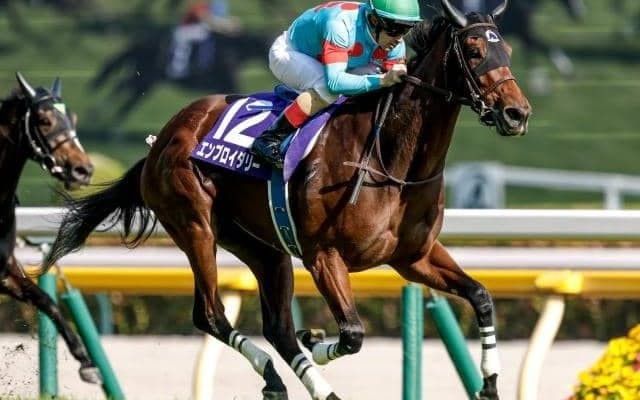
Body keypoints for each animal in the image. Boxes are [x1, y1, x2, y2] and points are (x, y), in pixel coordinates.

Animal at [0, 73, 101, 384]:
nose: (83, 170)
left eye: (72, 118)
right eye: (44, 120)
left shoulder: (5, 270)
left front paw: (88, 364)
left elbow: (47, 300)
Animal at [43, 0, 530, 398]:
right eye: (473, 51)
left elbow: (480, 295)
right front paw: (317, 341)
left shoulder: (414, 256)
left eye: (506, 50)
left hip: (262, 248)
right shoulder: (323, 255)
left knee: (277, 327)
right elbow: (352, 333)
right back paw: (283, 376)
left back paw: (306, 386)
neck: (391, 158)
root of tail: (161, 140)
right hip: (196, 227)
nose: (517, 113)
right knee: (211, 314)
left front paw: (489, 382)